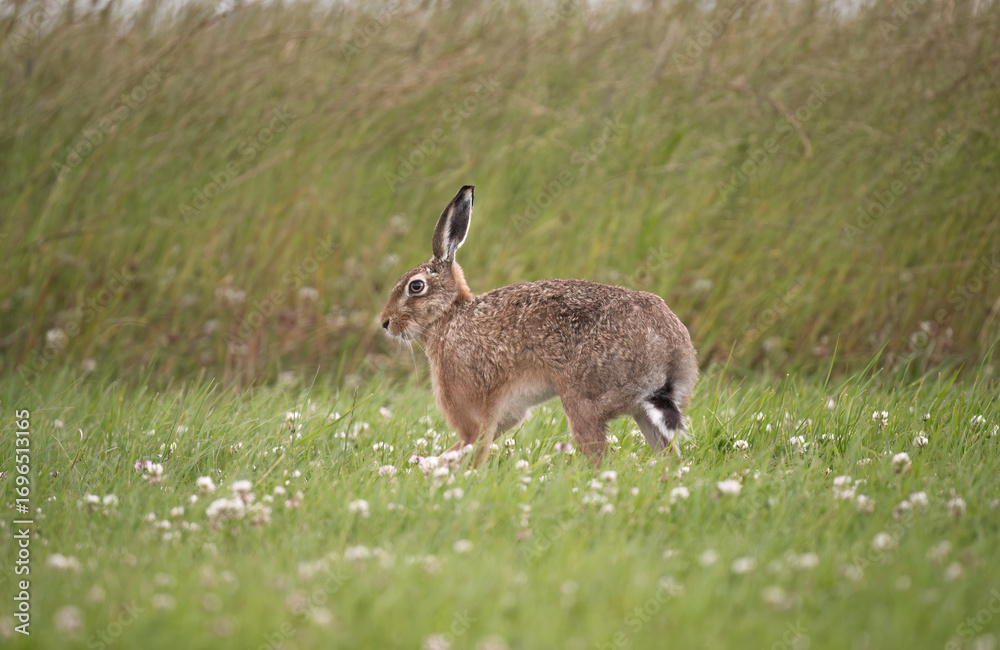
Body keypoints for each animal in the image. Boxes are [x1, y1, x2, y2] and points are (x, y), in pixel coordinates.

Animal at [379, 185, 698, 466]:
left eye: (416, 286)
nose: (385, 322)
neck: (449, 316)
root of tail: (669, 348)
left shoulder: (472, 410)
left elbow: (474, 446)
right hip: (643, 410)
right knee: (669, 459)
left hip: (584, 401)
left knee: (602, 460)